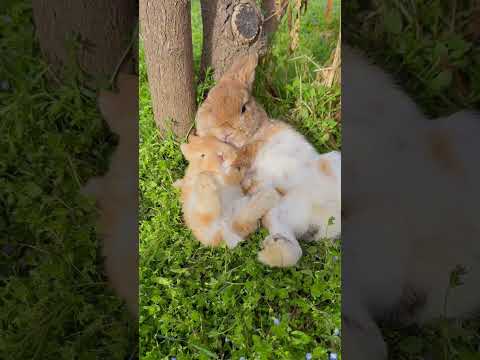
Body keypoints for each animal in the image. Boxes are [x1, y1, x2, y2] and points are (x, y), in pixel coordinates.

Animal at [196, 53, 342, 268]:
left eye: (243, 108)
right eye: (209, 103)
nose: (225, 132)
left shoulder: (254, 145)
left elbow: (245, 154)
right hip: (280, 213)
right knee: (293, 248)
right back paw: (271, 249)